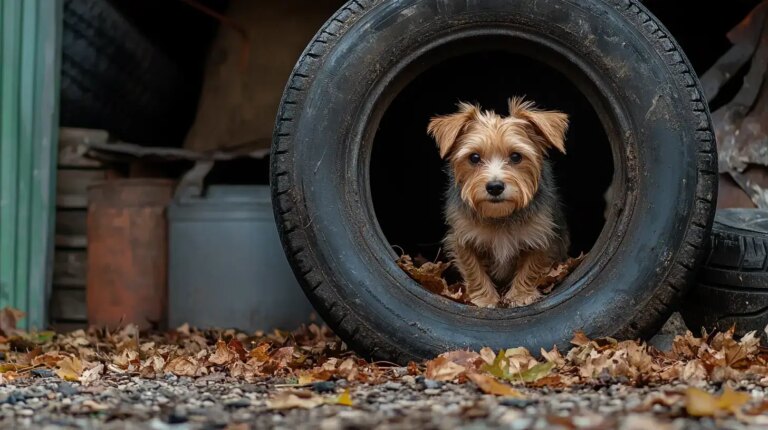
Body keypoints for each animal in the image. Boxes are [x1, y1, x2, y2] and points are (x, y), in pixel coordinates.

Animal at [426, 98, 568, 308]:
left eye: (516, 156)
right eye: (474, 157)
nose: (494, 187)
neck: (500, 215)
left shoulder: (543, 236)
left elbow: (532, 267)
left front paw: (520, 296)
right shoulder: (462, 237)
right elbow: (473, 269)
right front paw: (484, 299)